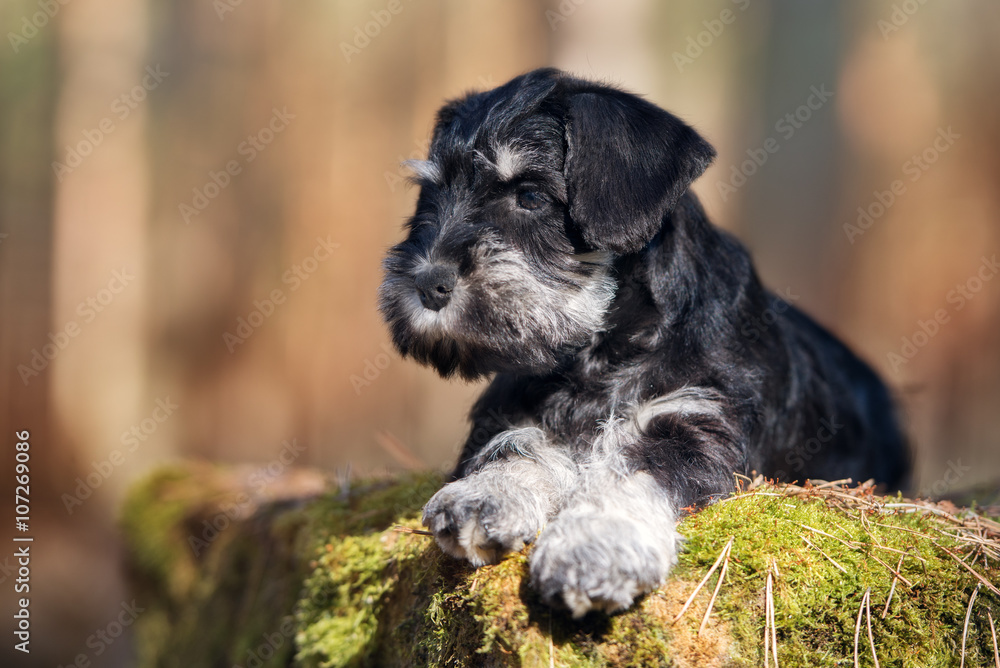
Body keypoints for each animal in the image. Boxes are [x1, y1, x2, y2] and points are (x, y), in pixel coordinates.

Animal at [378, 68, 912, 616]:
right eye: (430, 195)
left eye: (529, 196)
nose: (427, 283)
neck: (598, 352)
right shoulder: (512, 409)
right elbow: (518, 448)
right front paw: (483, 496)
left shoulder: (696, 422)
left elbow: (630, 472)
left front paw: (591, 548)